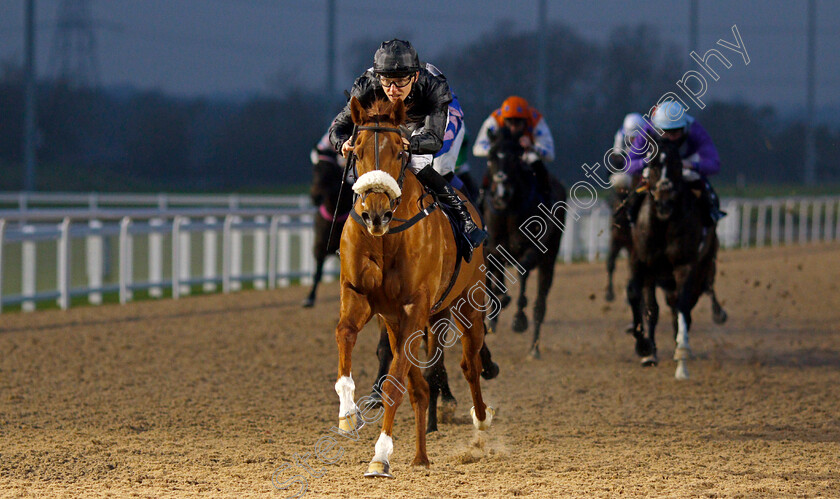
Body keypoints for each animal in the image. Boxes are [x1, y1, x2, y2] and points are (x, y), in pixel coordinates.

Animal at [302, 152, 354, 308]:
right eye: (315, 170)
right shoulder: (319, 247)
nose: (315, 196)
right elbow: (317, 273)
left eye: (329, 172)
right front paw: (309, 298)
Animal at [334, 97, 492, 480]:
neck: (386, 237)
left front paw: (379, 457)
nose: (376, 214)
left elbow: (394, 384)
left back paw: (481, 424)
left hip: (467, 305)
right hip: (396, 322)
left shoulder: (415, 306)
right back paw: (421, 456)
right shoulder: (360, 296)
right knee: (419, 386)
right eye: (357, 150)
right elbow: (345, 334)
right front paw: (347, 414)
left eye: (398, 150)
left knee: (469, 364)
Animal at [482, 127, 568, 358]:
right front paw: (497, 307)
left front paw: (519, 319)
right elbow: (491, 281)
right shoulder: (490, 248)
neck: (508, 210)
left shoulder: (532, 249)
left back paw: (534, 348)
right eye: (491, 156)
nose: (501, 194)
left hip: (550, 258)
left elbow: (522, 272)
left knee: (540, 304)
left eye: (515, 157)